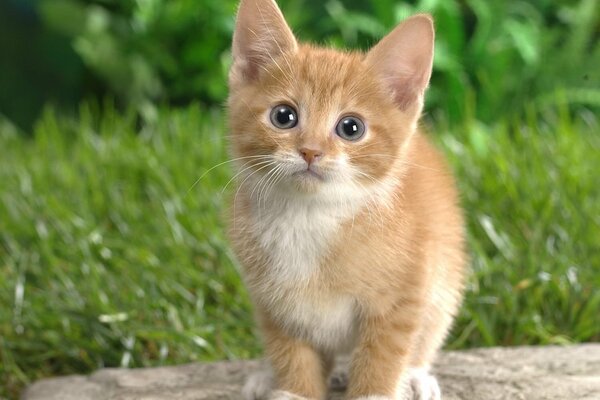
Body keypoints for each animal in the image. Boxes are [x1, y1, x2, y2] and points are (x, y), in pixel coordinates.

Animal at [225, 0, 464, 400]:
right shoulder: (274, 302)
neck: (309, 216)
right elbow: (290, 351)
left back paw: (415, 375)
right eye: (283, 116)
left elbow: (383, 353)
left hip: (444, 281)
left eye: (351, 128)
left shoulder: (403, 296)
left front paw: (376, 390)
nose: (310, 151)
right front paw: (294, 390)